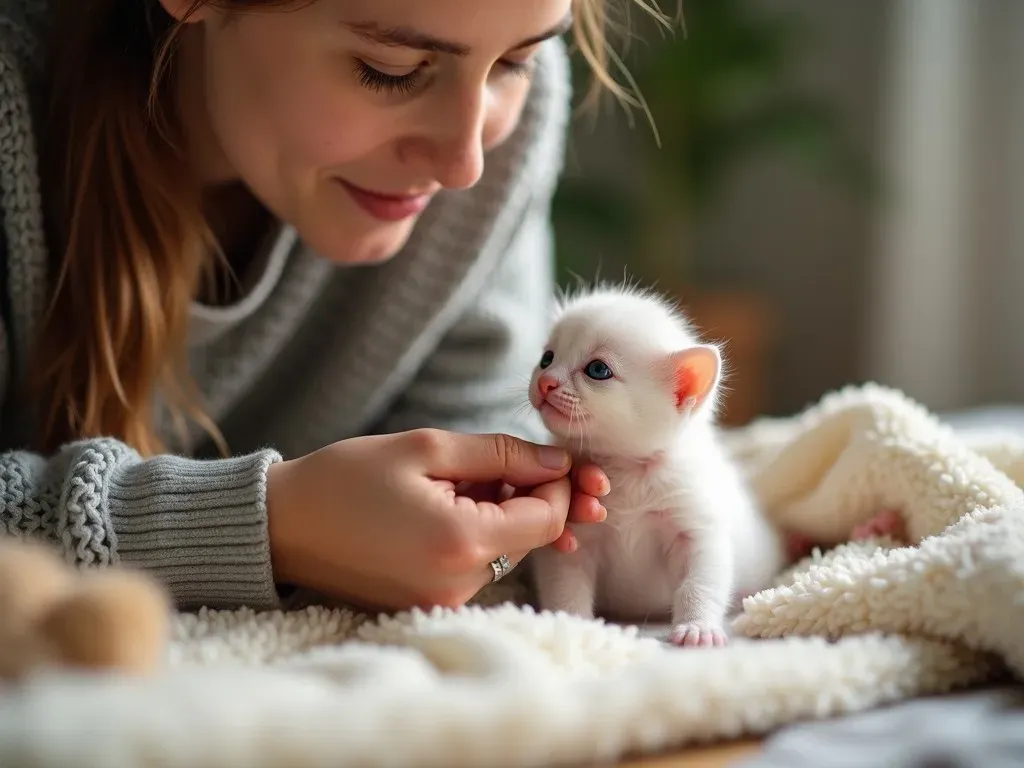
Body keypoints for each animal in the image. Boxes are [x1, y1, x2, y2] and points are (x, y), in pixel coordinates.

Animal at [524, 286, 786, 647]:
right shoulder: (572, 536)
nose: (545, 381)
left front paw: (697, 627)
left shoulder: (696, 524)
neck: (625, 468)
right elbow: (565, 582)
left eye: (598, 370)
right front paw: (570, 623)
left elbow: (701, 580)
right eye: (547, 358)